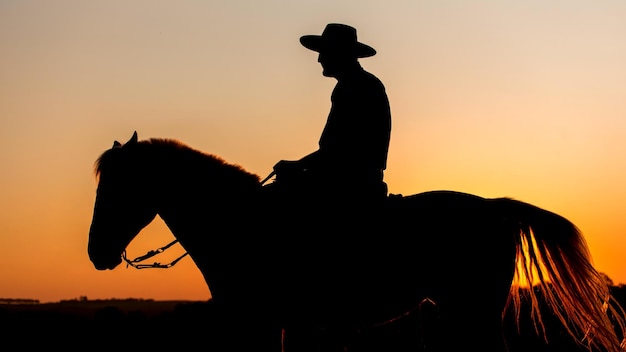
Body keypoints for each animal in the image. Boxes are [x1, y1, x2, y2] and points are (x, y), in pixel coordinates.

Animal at [88, 132, 624, 352]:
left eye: (116, 186)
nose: (96, 252)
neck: (240, 222)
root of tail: (496, 205)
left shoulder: (260, 319)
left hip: (473, 308)